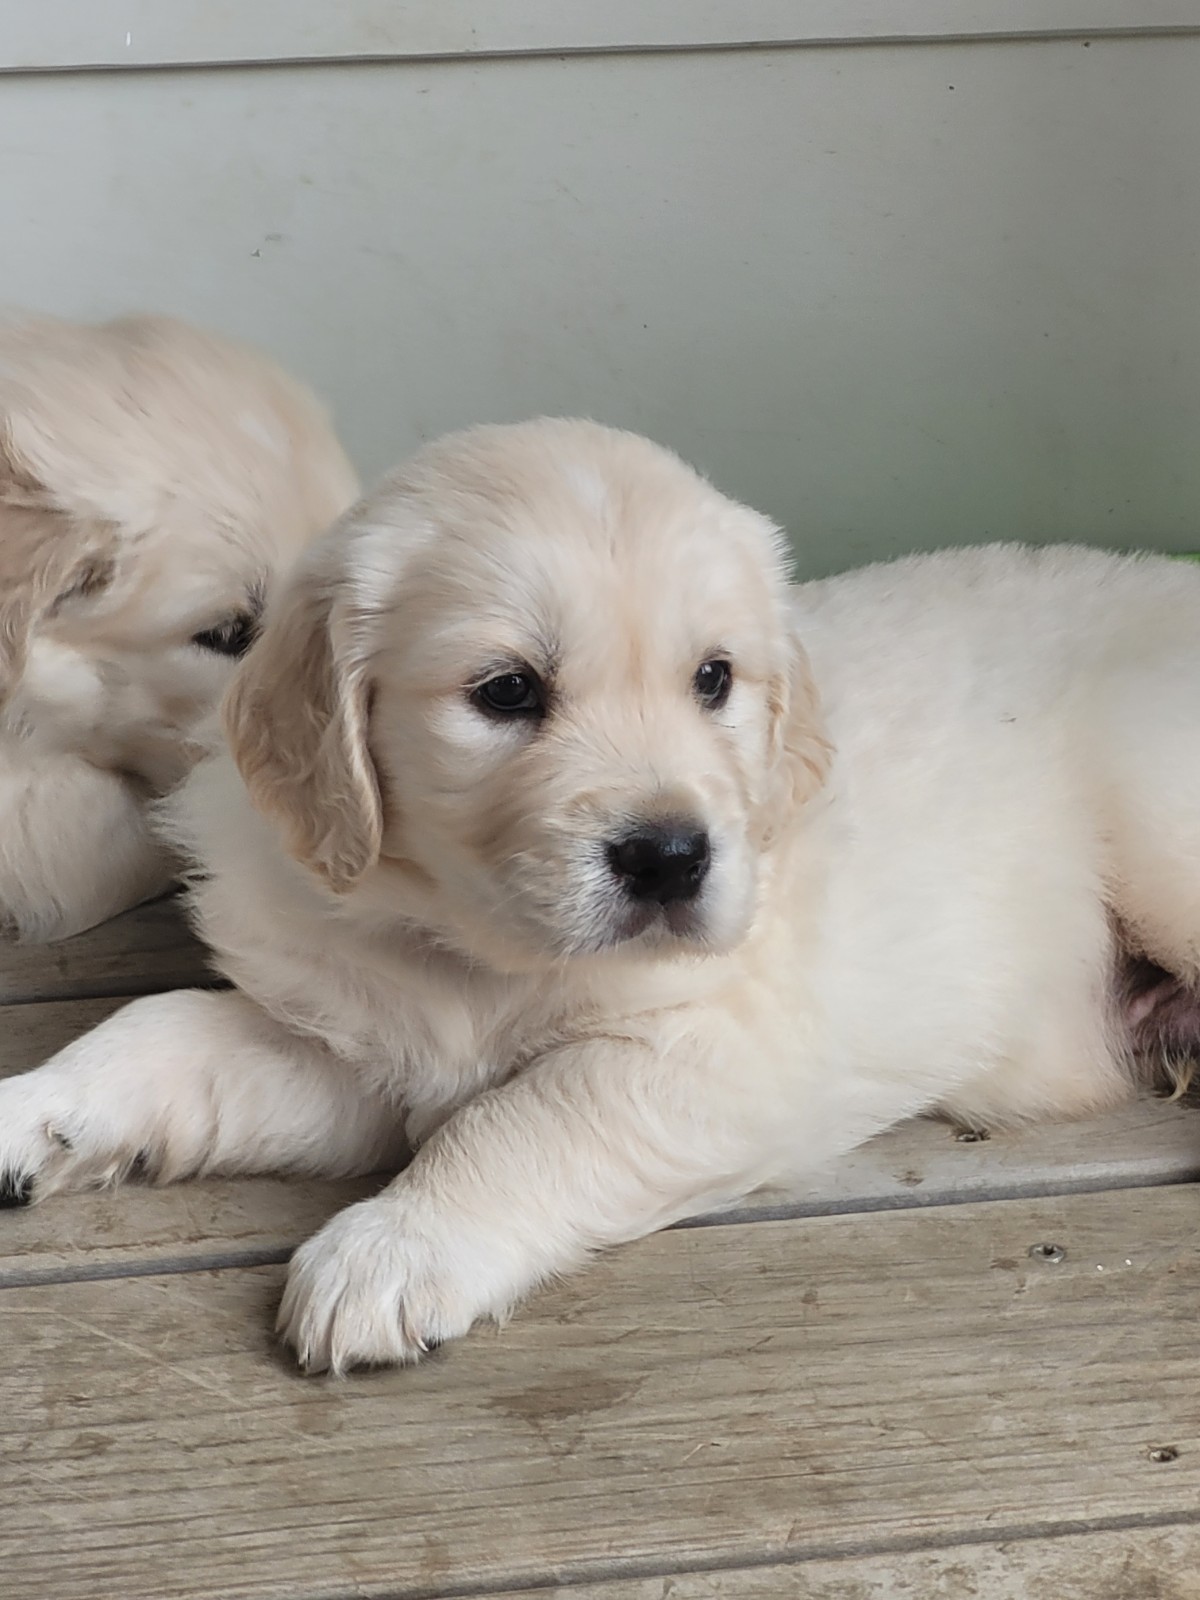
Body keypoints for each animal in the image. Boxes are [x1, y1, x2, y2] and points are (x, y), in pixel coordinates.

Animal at [2, 419, 1200, 1369]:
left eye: (714, 679)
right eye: (505, 692)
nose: (672, 857)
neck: (475, 946)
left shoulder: (722, 1052)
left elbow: (526, 1118)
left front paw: (390, 1247)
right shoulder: (351, 1047)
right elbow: (169, 1029)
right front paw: (38, 1108)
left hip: (1159, 826)